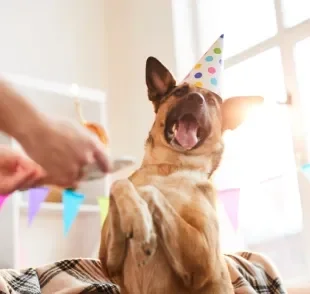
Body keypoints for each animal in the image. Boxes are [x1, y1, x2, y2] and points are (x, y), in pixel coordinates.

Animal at [98, 56, 262, 292]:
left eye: (211, 101)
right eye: (180, 92)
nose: (196, 99)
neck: (171, 166)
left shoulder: (204, 258)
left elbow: (149, 190)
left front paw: (142, 220)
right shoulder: (108, 261)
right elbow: (120, 184)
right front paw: (135, 216)